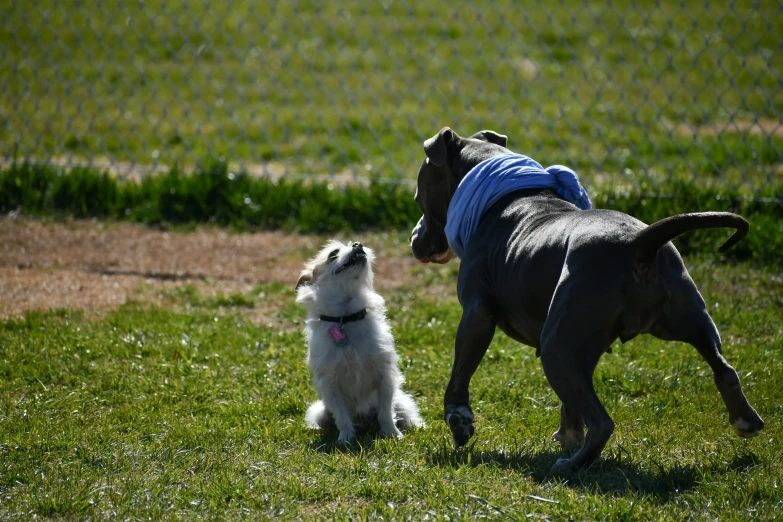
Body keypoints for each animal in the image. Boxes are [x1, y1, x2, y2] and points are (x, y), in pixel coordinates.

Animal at [298, 238, 426, 440]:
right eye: (333, 254)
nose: (358, 244)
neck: (346, 318)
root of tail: (364, 419)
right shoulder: (330, 385)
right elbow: (341, 415)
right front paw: (345, 438)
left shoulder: (385, 376)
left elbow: (386, 411)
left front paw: (392, 433)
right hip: (318, 411)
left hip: (402, 401)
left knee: (405, 413)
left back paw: (418, 426)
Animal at [410, 127, 764, 472]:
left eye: (418, 195)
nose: (414, 238)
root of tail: (638, 243)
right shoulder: (585, 349)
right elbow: (572, 404)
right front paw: (568, 434)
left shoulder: (477, 314)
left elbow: (461, 371)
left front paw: (458, 420)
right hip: (691, 320)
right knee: (725, 371)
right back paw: (746, 421)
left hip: (557, 348)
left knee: (603, 423)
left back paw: (569, 467)